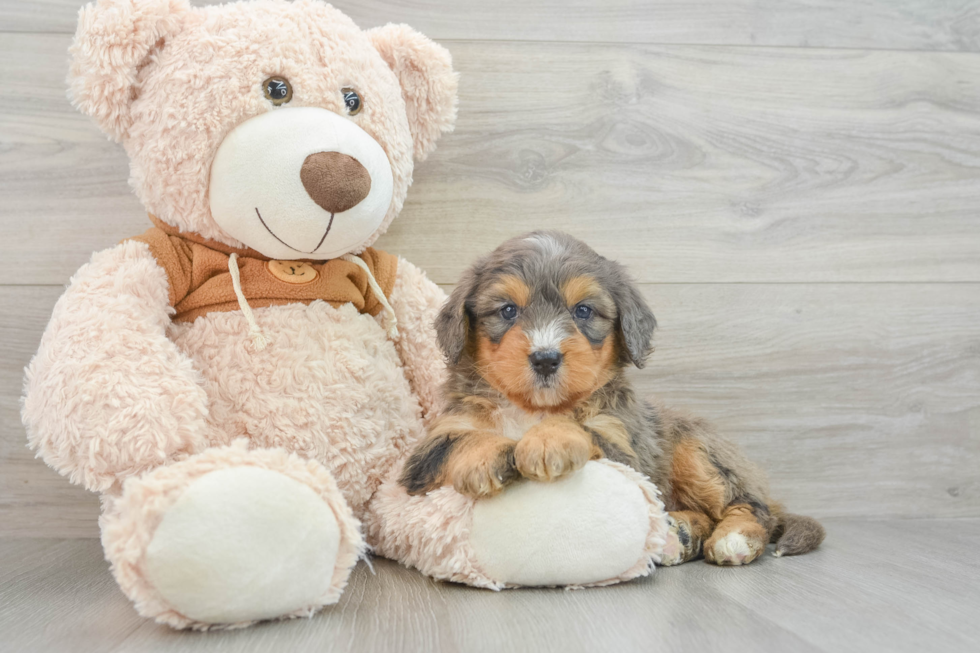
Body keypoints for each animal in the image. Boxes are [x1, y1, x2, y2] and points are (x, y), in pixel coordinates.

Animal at [398, 232, 820, 564]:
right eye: (508, 310)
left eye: (583, 311)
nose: (546, 358)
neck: (533, 408)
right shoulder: (426, 453)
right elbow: (460, 440)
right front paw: (484, 457)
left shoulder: (623, 447)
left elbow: (582, 428)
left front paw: (549, 440)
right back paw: (679, 534)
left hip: (697, 450)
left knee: (751, 507)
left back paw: (733, 538)